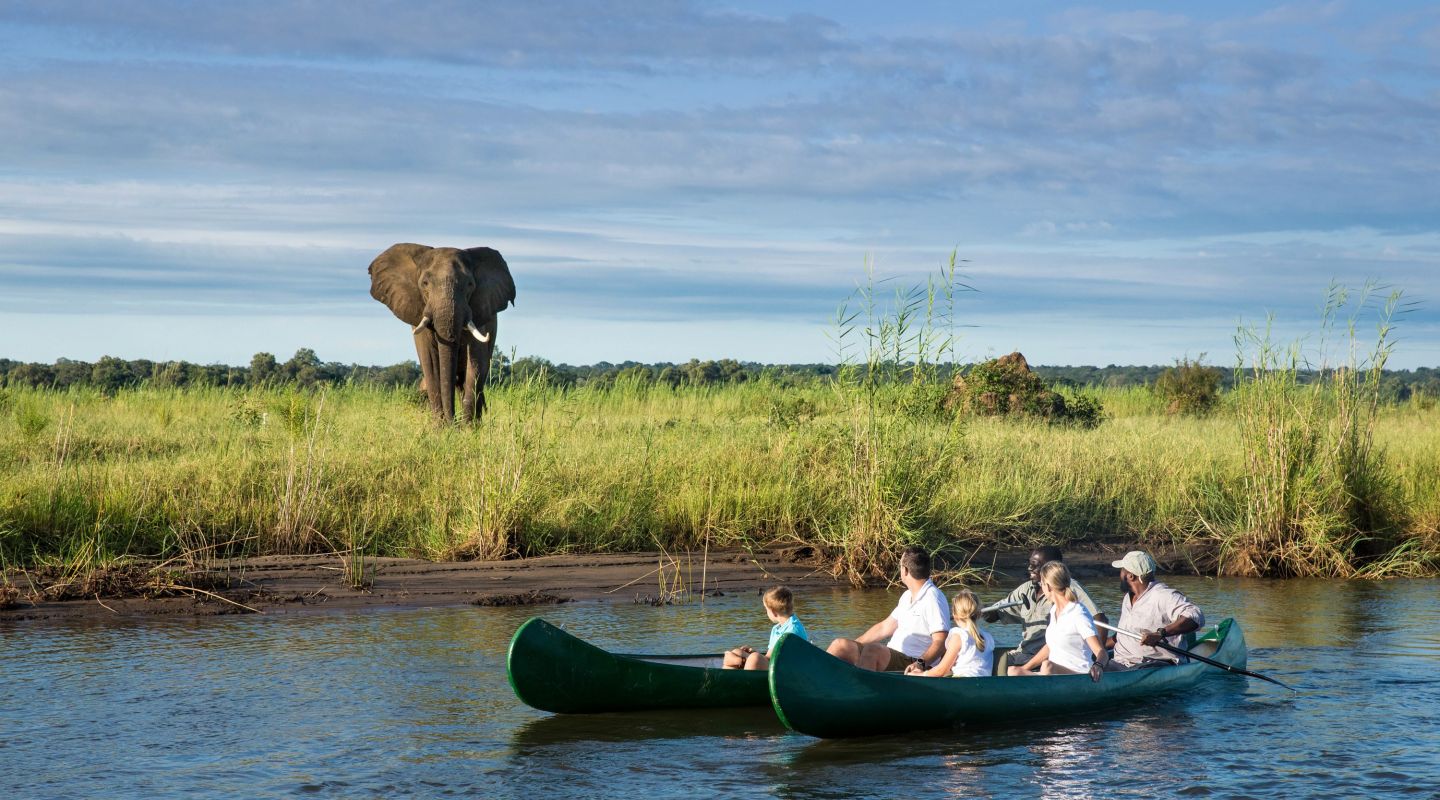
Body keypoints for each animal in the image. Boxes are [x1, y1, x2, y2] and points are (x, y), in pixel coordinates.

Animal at [368, 243, 515, 423]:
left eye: (470, 284)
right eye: (425, 283)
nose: (453, 422)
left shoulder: (481, 313)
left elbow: (476, 363)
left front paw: (467, 427)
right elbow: (430, 363)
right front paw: (442, 427)